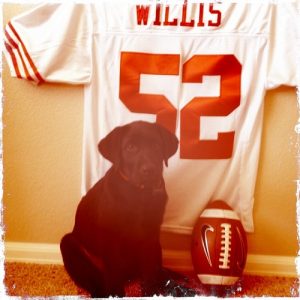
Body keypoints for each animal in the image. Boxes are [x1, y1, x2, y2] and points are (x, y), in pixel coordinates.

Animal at [60, 120, 179, 296]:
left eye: (157, 146)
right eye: (130, 147)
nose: (149, 170)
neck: (139, 194)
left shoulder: (151, 237)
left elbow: (149, 272)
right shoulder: (112, 240)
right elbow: (114, 274)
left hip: (157, 247)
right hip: (69, 244)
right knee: (95, 281)